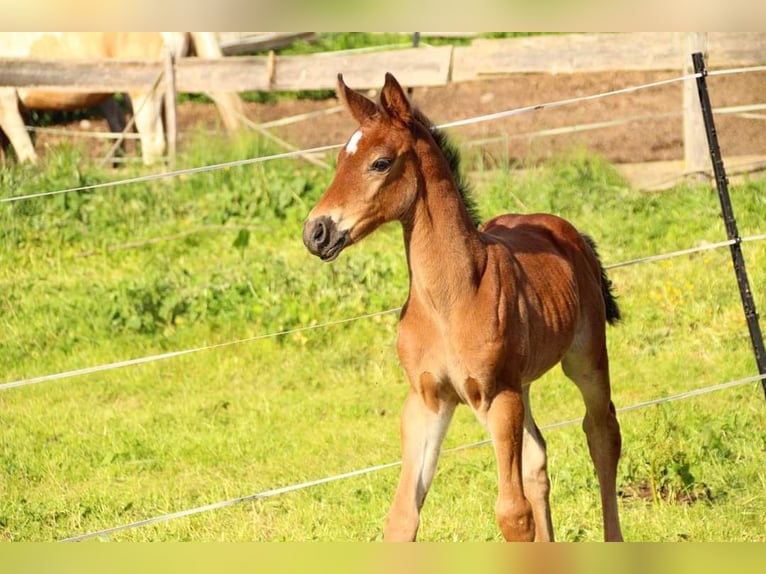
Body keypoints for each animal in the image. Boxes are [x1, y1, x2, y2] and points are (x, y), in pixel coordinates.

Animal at [304, 73, 628, 544]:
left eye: (380, 162)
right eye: (338, 160)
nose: (316, 232)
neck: (449, 299)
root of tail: (568, 231)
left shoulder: (496, 397)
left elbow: (513, 515)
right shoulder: (427, 402)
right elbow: (402, 516)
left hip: (583, 359)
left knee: (602, 432)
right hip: (522, 385)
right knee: (538, 458)